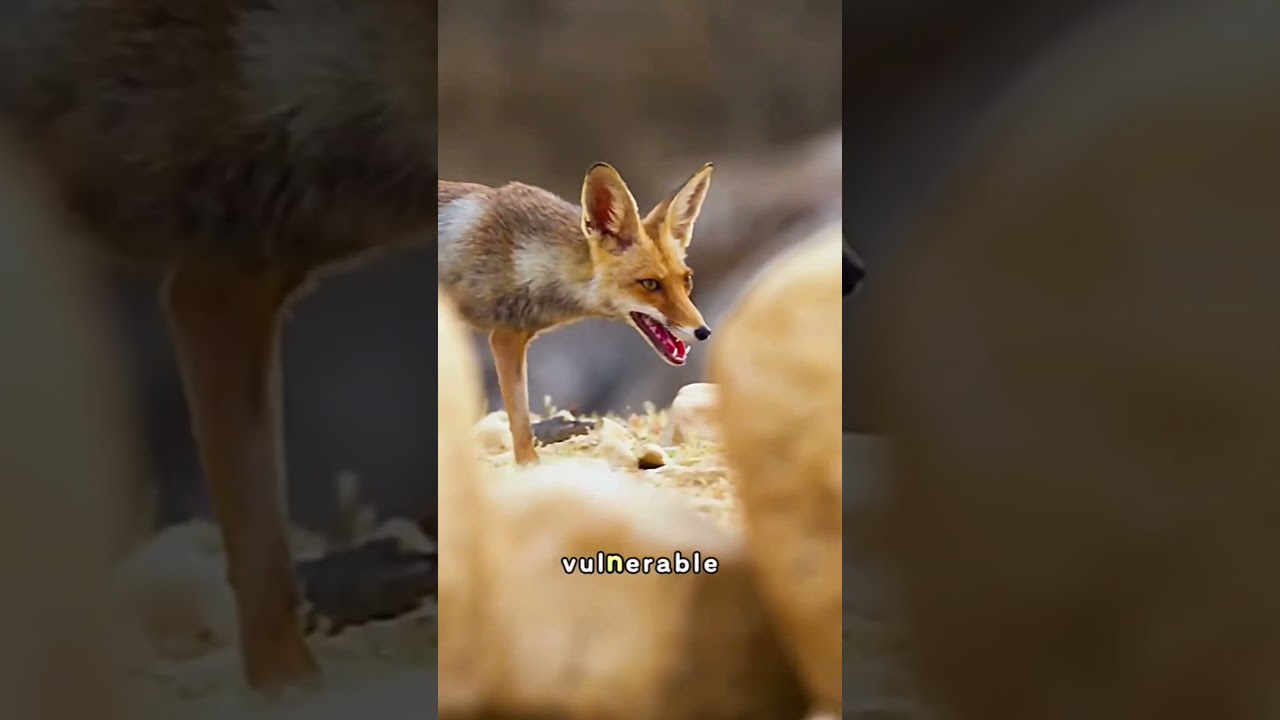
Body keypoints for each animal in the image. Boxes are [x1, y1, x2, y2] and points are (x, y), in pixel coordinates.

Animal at [438, 162, 715, 466]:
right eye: (651, 284)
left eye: (686, 280)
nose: (703, 332)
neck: (524, 257)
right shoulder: (491, 335)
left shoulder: (510, 334)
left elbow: (521, 426)